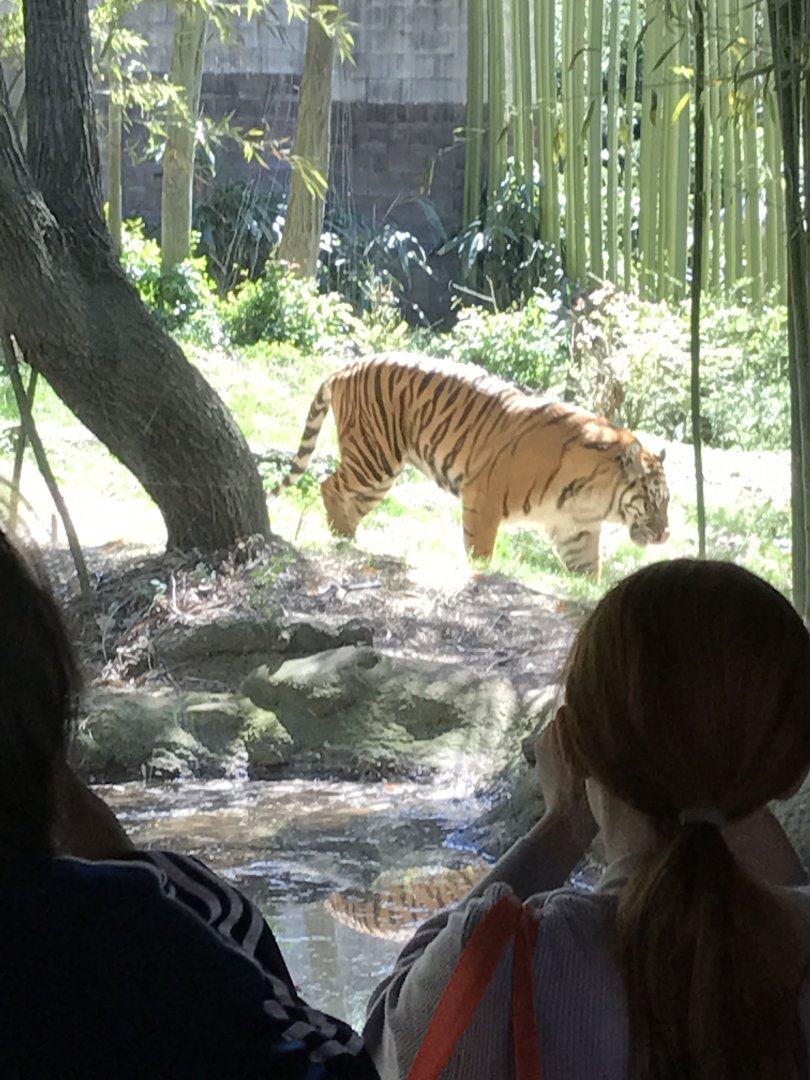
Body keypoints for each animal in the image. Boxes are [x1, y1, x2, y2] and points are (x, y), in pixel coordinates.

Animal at [273, 351, 670, 576]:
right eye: (653, 501)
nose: (665, 534)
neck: (593, 499)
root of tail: (345, 367)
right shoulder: (484, 496)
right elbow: (480, 550)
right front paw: (480, 572)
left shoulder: (576, 530)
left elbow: (589, 572)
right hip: (374, 459)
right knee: (329, 485)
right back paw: (342, 537)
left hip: (378, 474)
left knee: (349, 498)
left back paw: (350, 539)